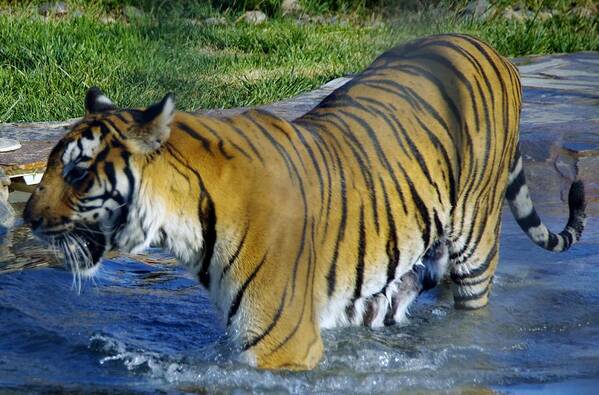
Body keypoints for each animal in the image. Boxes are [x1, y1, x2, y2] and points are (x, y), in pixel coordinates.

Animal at [23, 34, 584, 372]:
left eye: (76, 172)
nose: (25, 218)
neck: (183, 224)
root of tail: (488, 46)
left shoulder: (281, 346)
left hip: (475, 242)